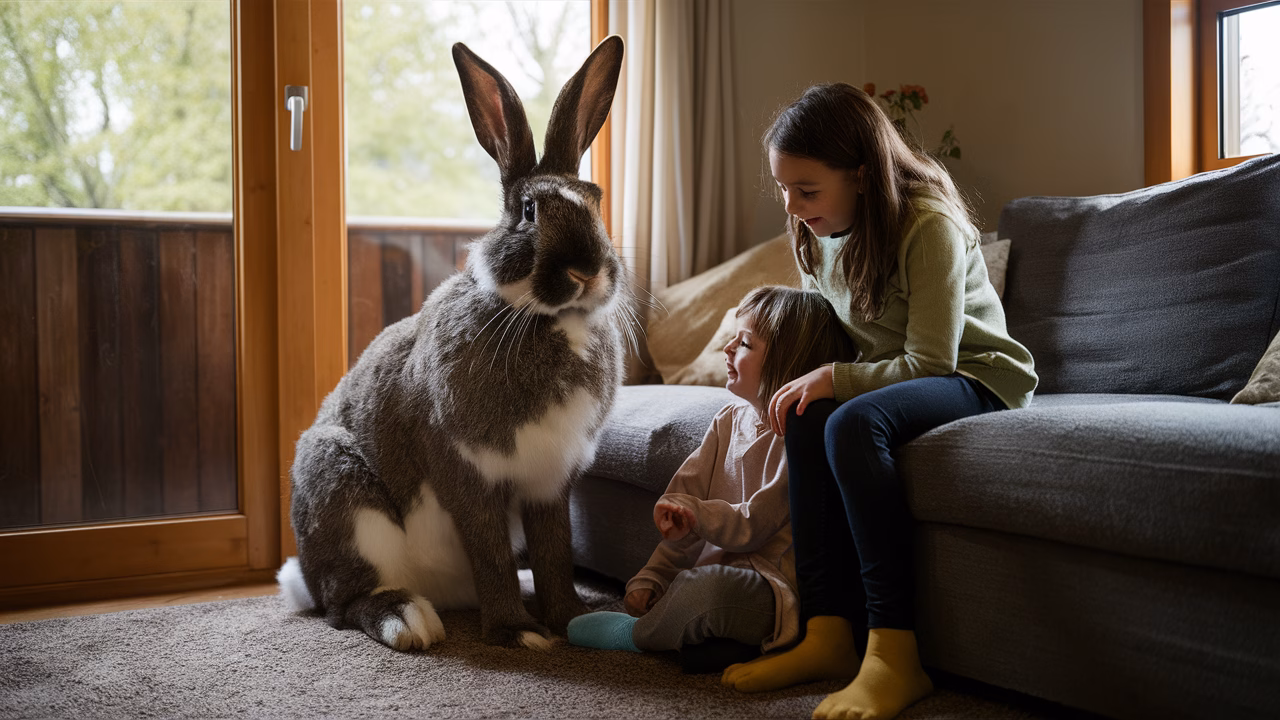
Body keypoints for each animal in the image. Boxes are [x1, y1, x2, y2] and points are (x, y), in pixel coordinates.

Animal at [277, 35, 627, 652]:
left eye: (595, 200)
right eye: (528, 212)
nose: (587, 271)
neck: (548, 319)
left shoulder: (550, 484)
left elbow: (556, 553)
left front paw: (568, 620)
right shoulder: (467, 471)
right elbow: (491, 551)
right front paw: (519, 634)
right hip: (343, 497)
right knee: (344, 604)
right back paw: (408, 620)